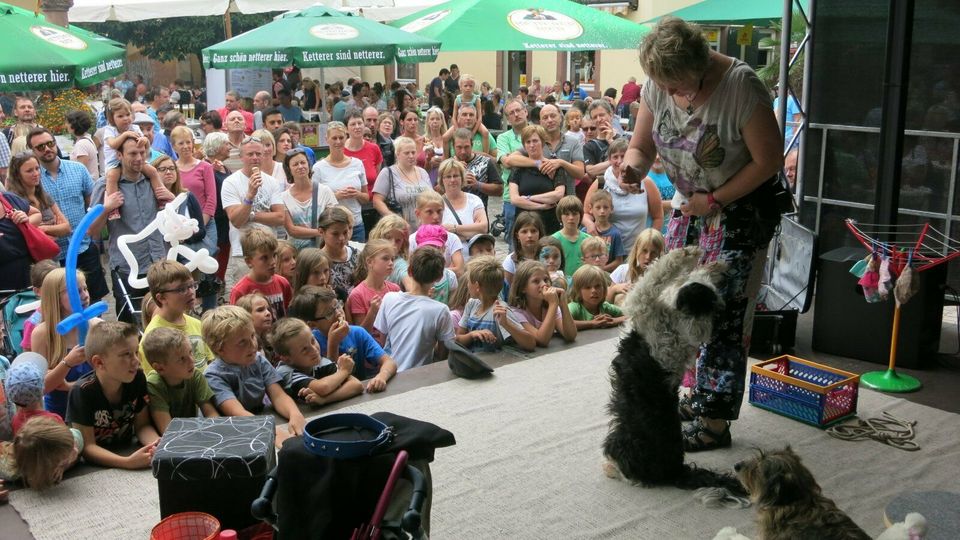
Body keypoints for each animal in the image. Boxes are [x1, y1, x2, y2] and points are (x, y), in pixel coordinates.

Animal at [604, 247, 748, 496]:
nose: (721, 270)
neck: (678, 326)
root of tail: (676, 471)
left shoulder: (640, 303)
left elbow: (657, 275)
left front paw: (685, 253)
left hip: (617, 441)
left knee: (628, 475)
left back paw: (610, 467)